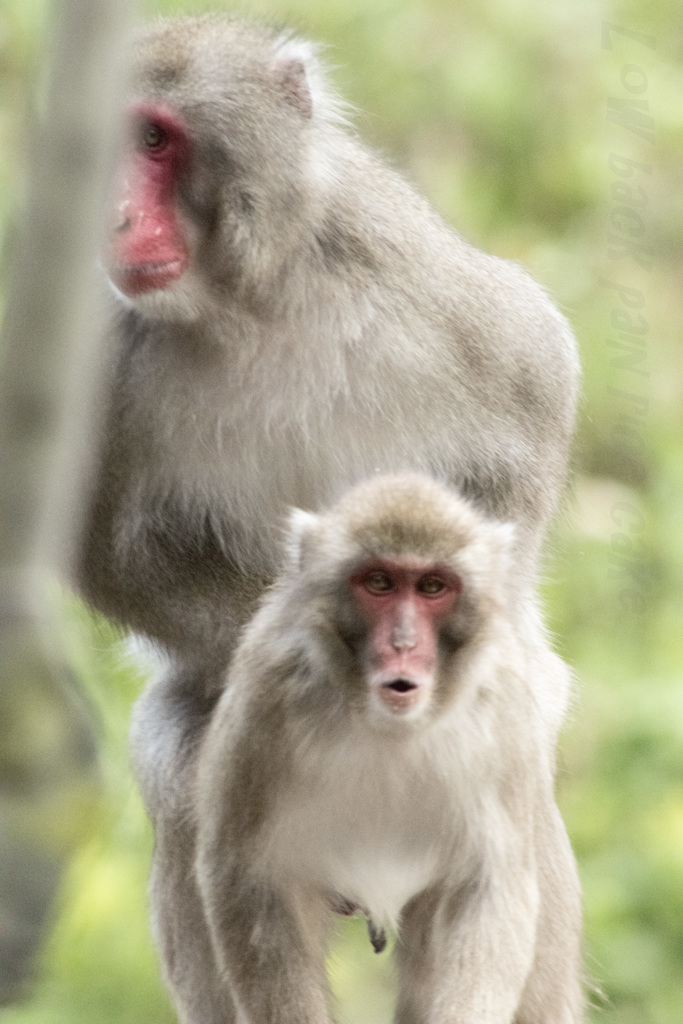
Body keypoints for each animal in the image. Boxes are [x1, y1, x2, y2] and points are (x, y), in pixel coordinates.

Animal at [194, 473, 585, 1024]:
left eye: (432, 587)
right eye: (379, 583)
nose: (403, 643)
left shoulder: (504, 713)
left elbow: (492, 886)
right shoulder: (264, 699)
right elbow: (246, 879)